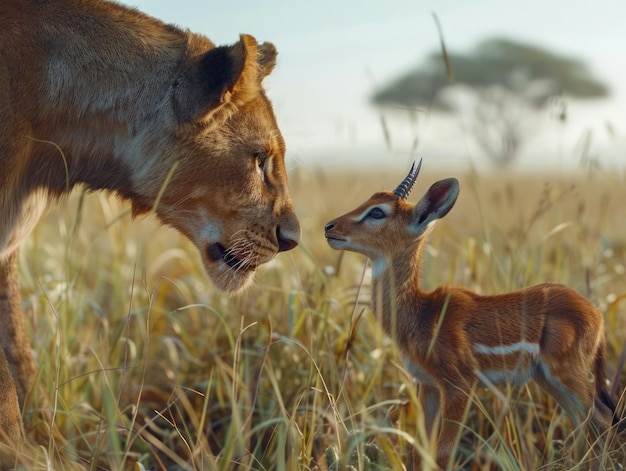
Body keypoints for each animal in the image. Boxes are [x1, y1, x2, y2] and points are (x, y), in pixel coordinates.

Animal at [324, 161, 616, 468]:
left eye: (377, 211)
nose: (329, 227)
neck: (422, 313)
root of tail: (597, 314)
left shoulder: (459, 385)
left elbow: (442, 452)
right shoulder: (427, 384)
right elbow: (420, 450)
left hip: (564, 374)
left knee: (601, 419)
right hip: (547, 379)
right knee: (583, 423)